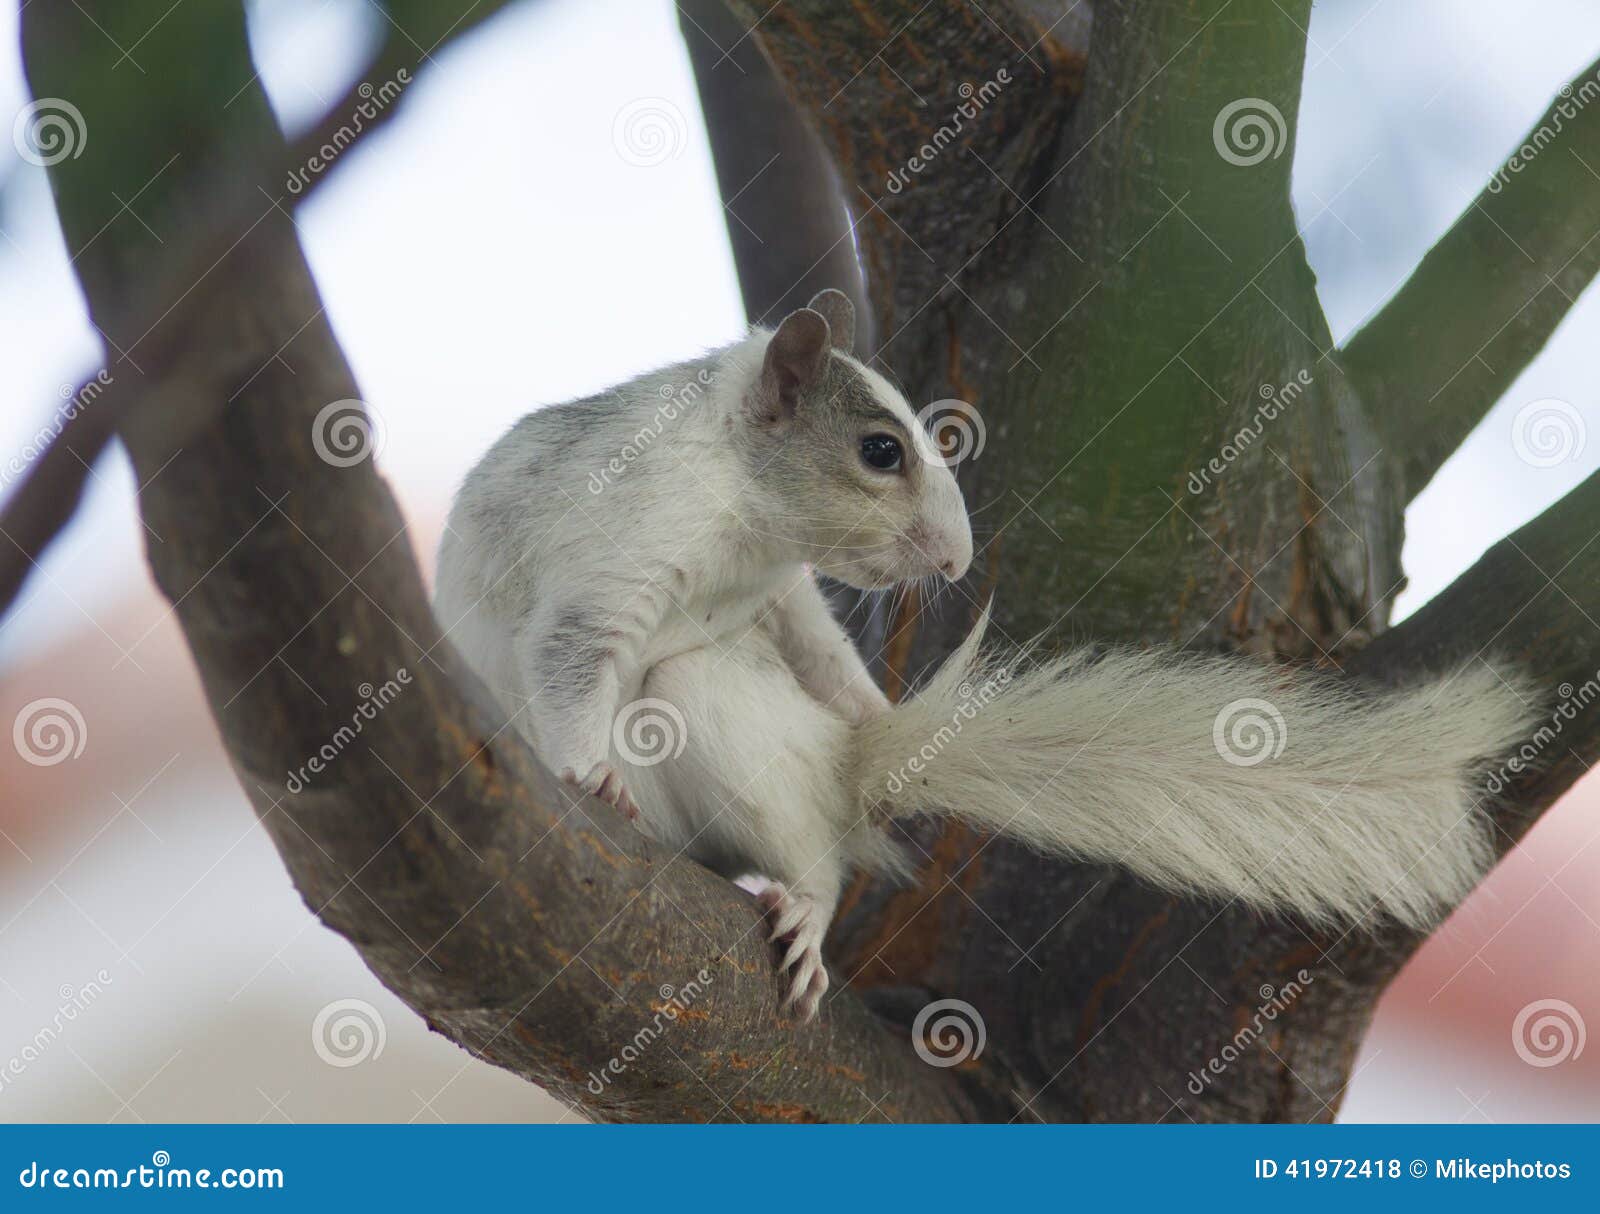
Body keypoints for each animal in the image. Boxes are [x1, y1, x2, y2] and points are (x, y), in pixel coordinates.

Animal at [433, 288, 1535, 1020]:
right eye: (881, 450)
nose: (959, 558)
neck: (747, 523)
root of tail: (840, 774)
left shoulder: (780, 593)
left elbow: (820, 645)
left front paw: (882, 713)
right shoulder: (624, 553)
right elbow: (573, 656)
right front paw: (590, 775)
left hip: (729, 720)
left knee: (818, 852)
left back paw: (813, 887)